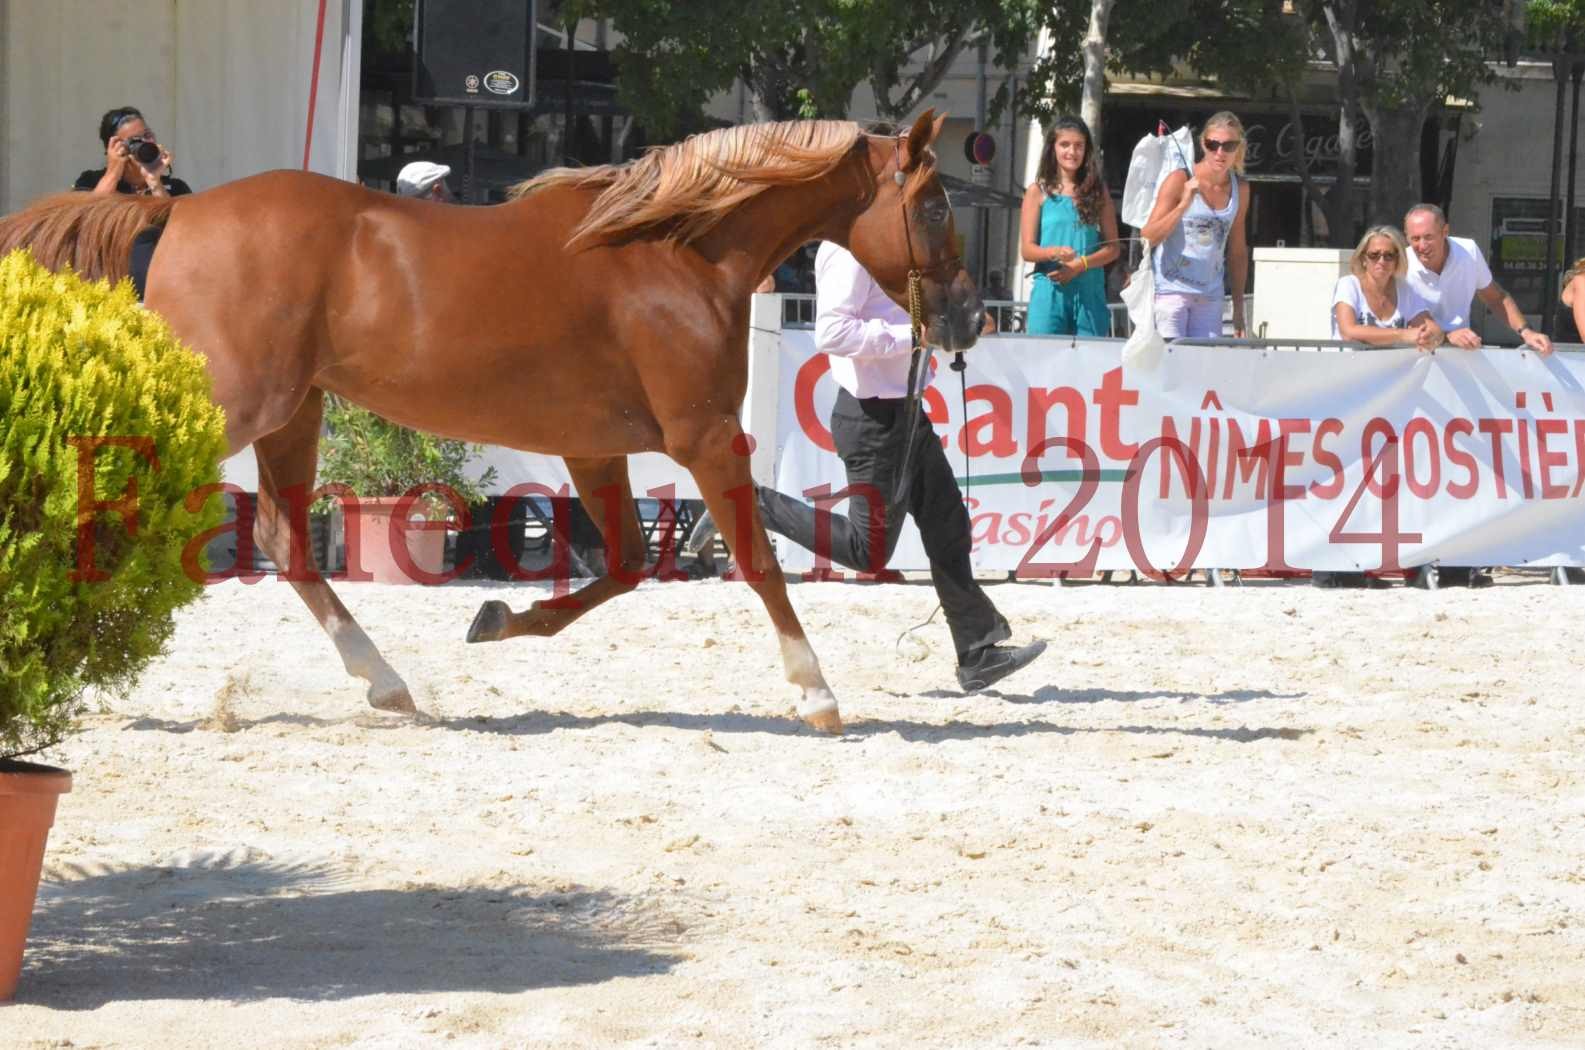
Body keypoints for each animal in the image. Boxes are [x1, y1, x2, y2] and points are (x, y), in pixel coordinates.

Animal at [3, 108, 976, 732]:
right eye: (933, 205)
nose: (966, 319)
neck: (677, 256)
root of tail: (173, 208)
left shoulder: (593, 451)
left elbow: (625, 566)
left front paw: (497, 618)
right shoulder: (703, 438)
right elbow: (756, 561)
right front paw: (816, 695)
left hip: (291, 413)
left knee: (283, 538)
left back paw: (389, 687)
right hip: (230, 406)